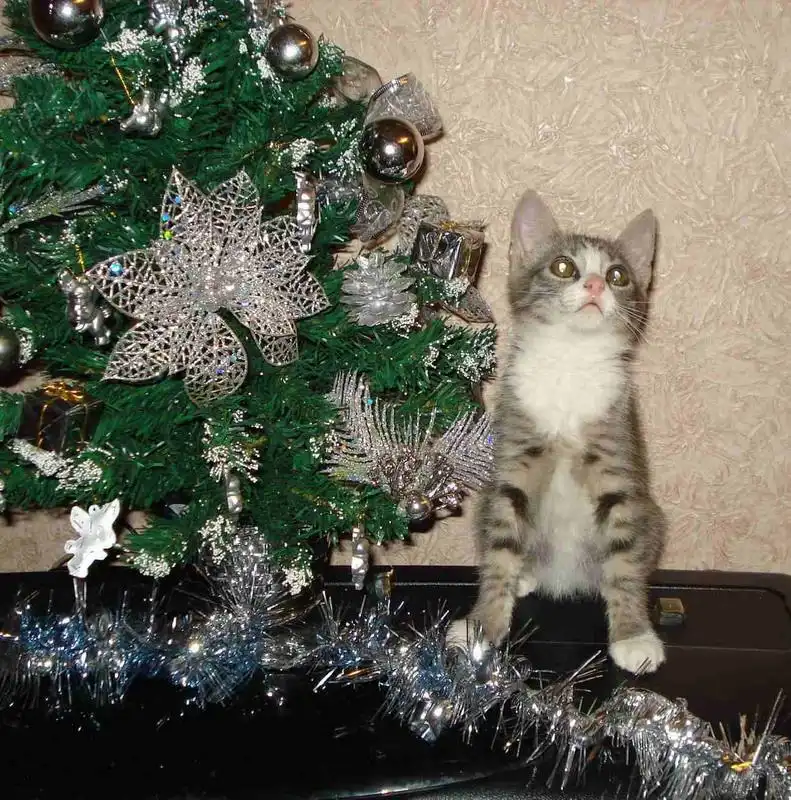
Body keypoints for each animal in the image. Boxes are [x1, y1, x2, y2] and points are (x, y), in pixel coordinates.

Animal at [447, 190, 666, 674]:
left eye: (619, 275)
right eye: (564, 267)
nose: (596, 285)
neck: (571, 360)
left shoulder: (616, 457)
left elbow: (624, 557)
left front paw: (633, 634)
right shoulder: (514, 455)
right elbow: (500, 548)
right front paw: (482, 626)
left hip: (654, 516)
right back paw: (526, 575)